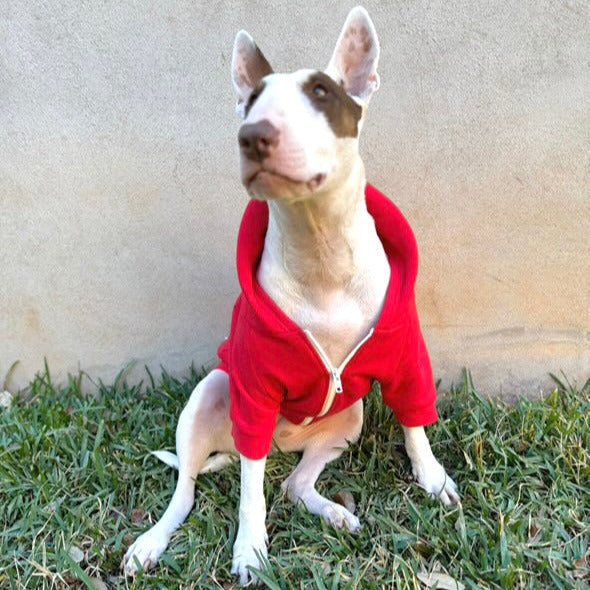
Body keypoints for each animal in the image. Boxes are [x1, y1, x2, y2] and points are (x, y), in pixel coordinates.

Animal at [123, 8, 458, 588]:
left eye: (322, 92)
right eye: (252, 99)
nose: (252, 136)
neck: (321, 248)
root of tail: (282, 444)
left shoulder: (404, 355)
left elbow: (415, 422)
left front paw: (432, 478)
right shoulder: (255, 390)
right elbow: (249, 495)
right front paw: (250, 551)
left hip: (349, 421)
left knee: (293, 483)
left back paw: (335, 513)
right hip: (211, 396)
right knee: (193, 488)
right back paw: (150, 542)